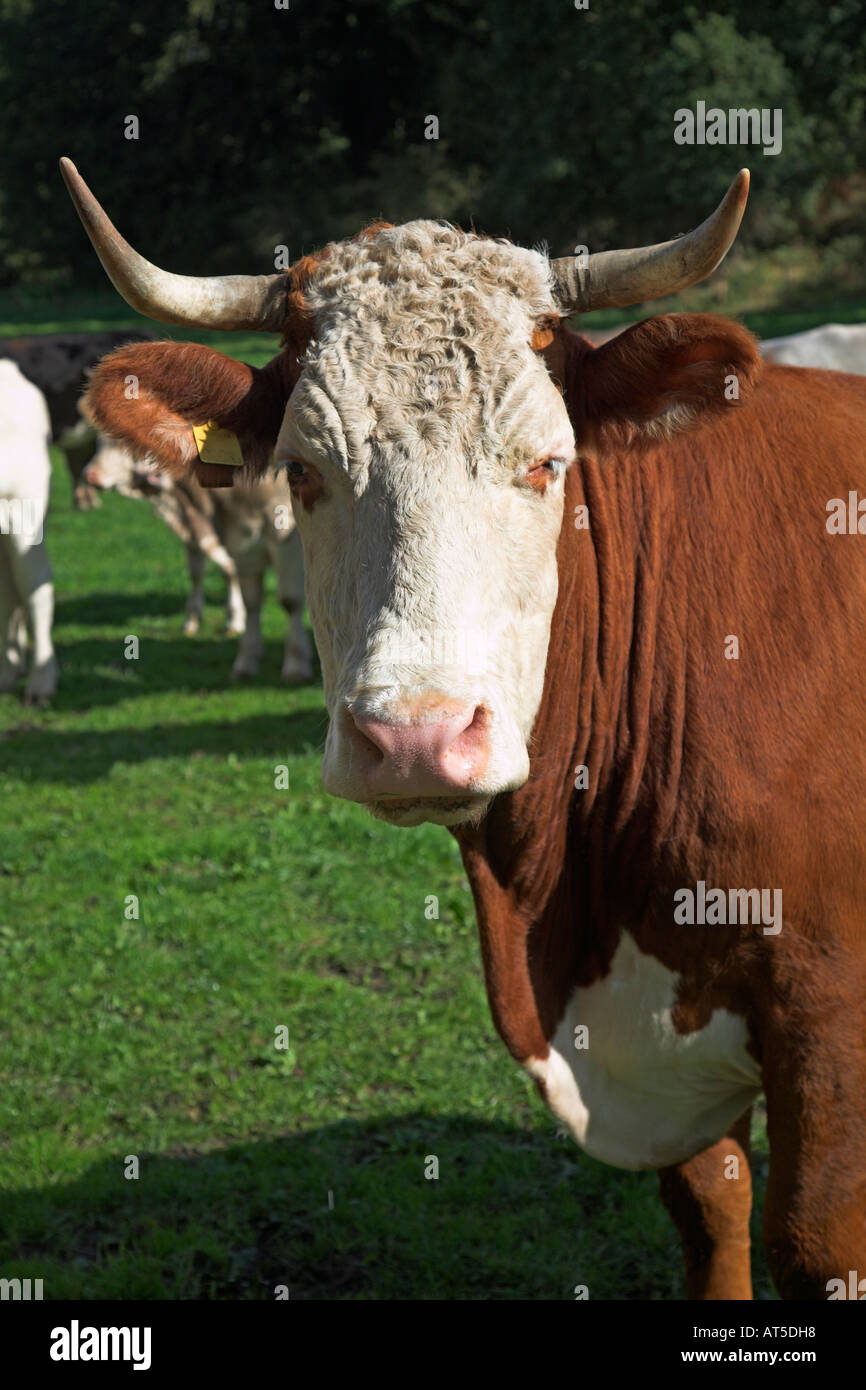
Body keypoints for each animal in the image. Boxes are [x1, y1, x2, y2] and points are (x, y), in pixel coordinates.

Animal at [83, 438, 312, 682]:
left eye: (120, 445)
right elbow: (248, 599)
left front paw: (296, 665)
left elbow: (290, 601)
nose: (89, 475)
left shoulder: (285, 538)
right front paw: (246, 659)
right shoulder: (240, 540)